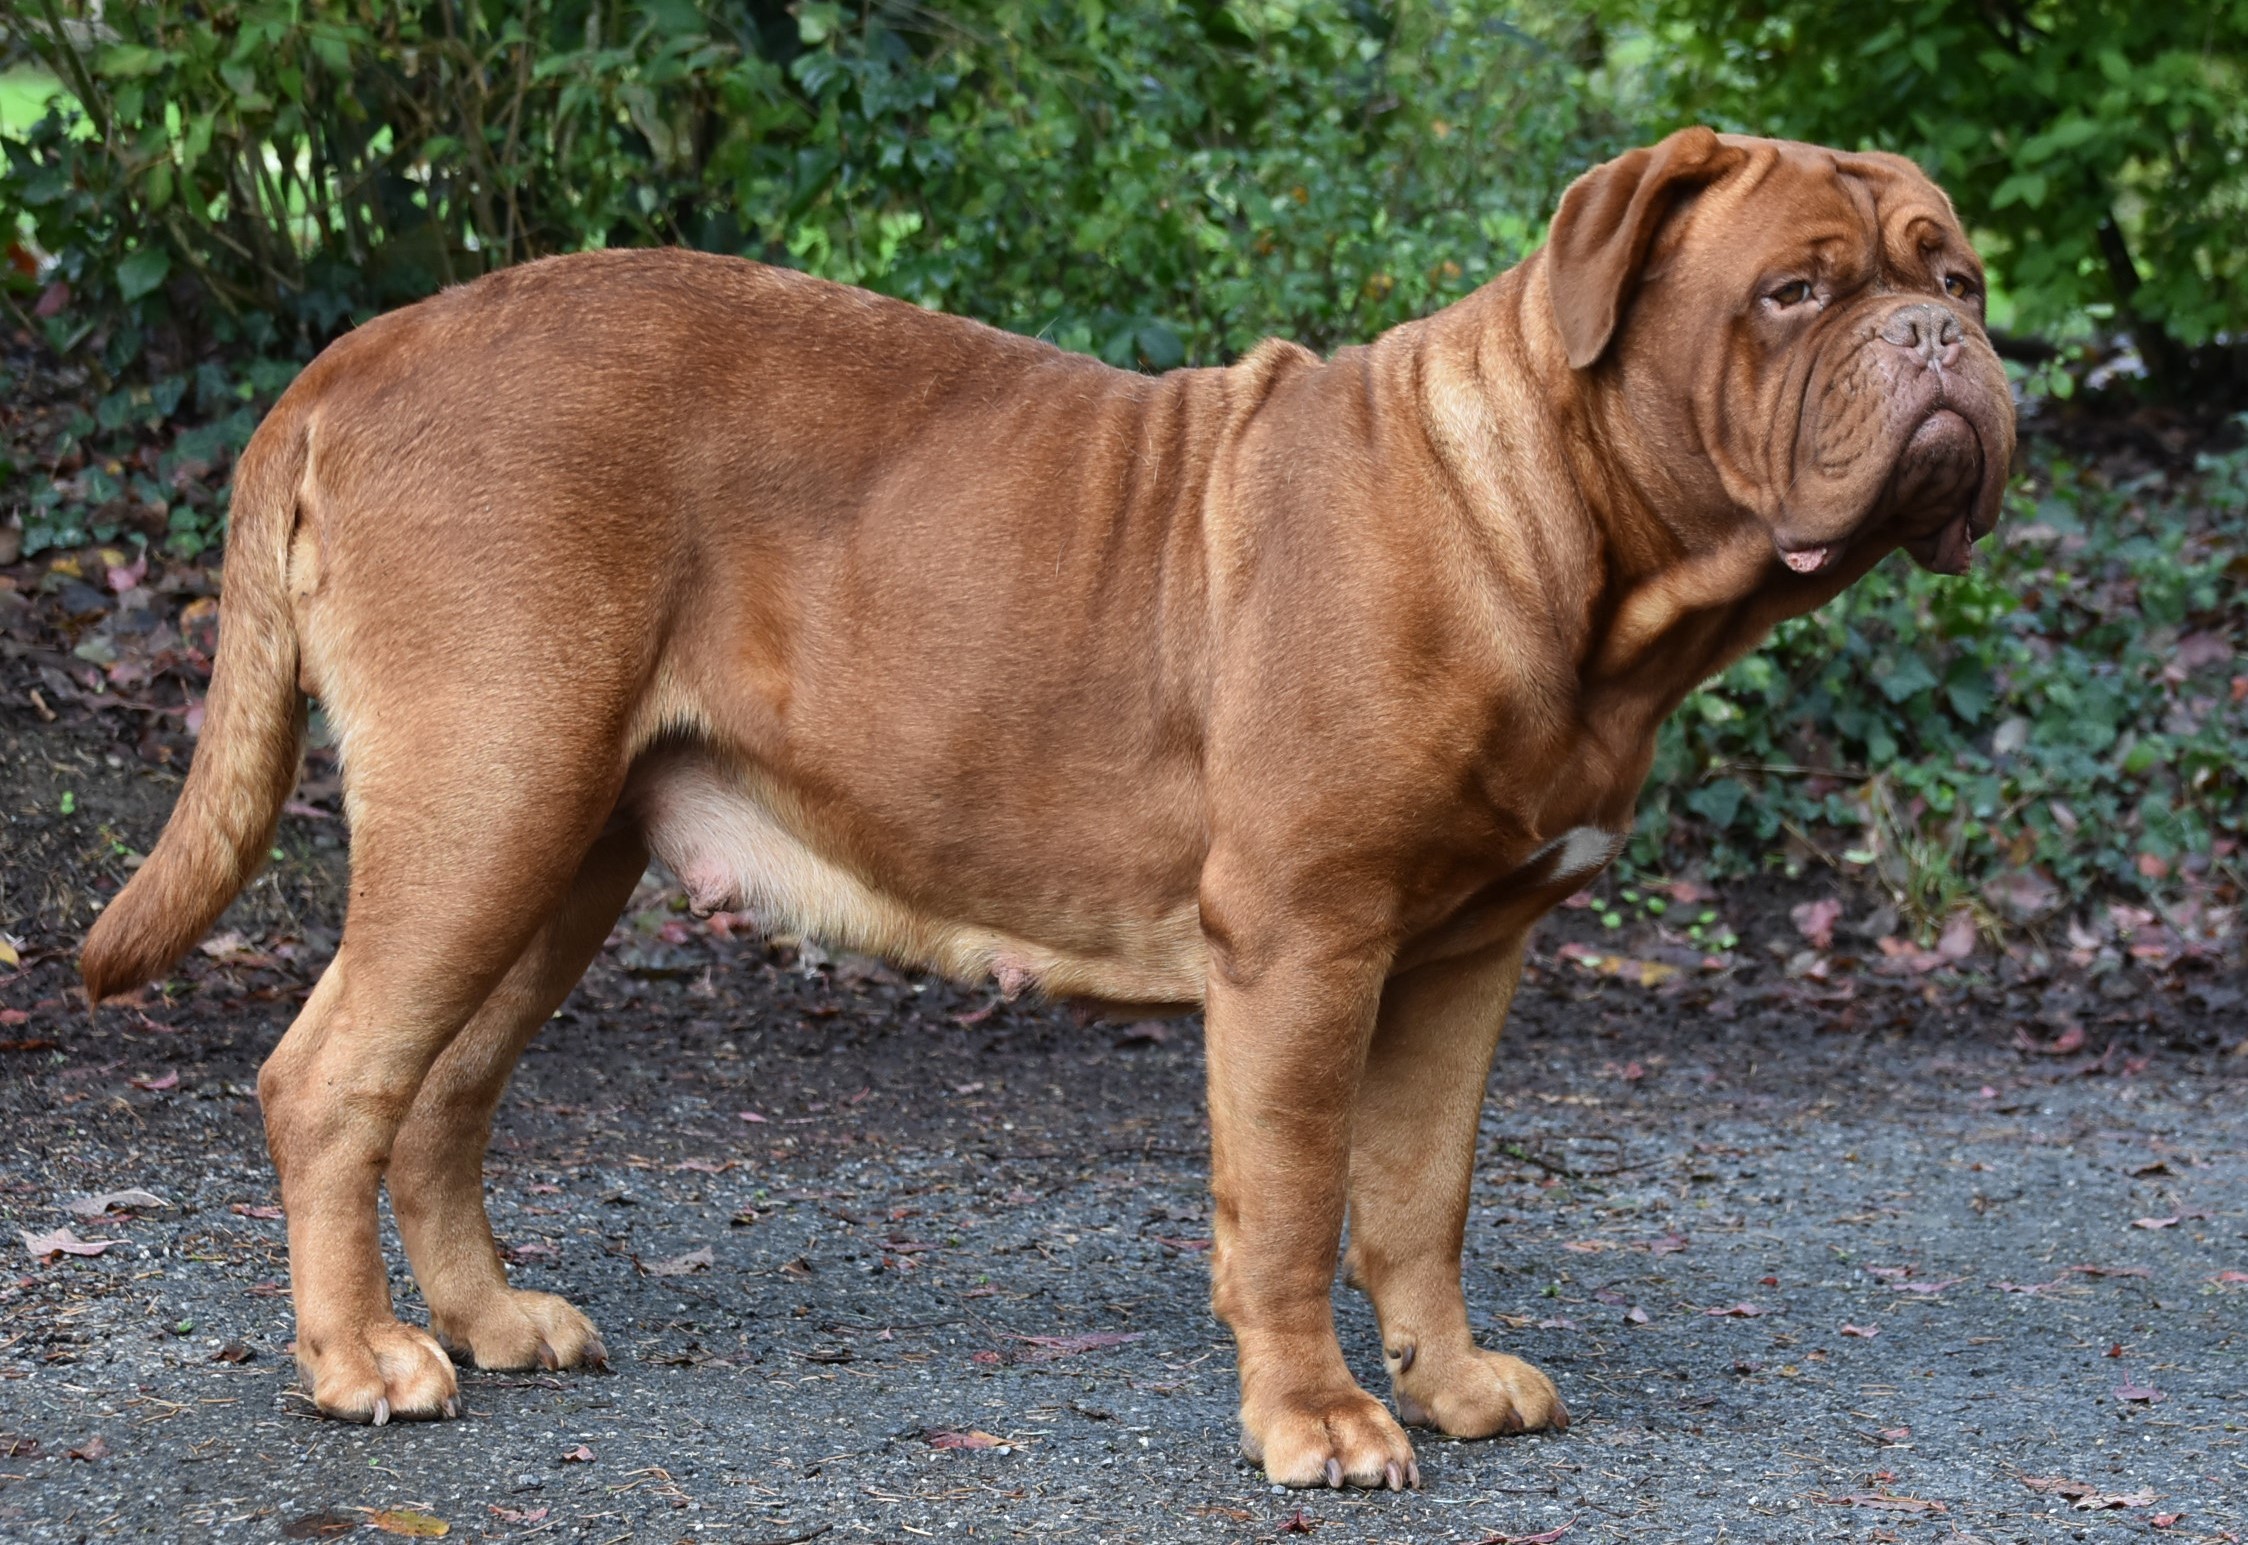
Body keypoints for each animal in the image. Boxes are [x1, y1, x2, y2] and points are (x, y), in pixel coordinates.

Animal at [79, 129, 2014, 1484]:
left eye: (1963, 275)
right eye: (1793, 293)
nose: (1944, 337)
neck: (1558, 538)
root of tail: (356, 358)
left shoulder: (1471, 954)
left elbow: (1420, 1188)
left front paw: (1454, 1381)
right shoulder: (1305, 944)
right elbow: (1292, 1198)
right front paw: (1320, 1421)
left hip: (563, 846)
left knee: (442, 1093)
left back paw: (488, 1321)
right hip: (488, 797)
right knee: (330, 1077)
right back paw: (361, 1363)